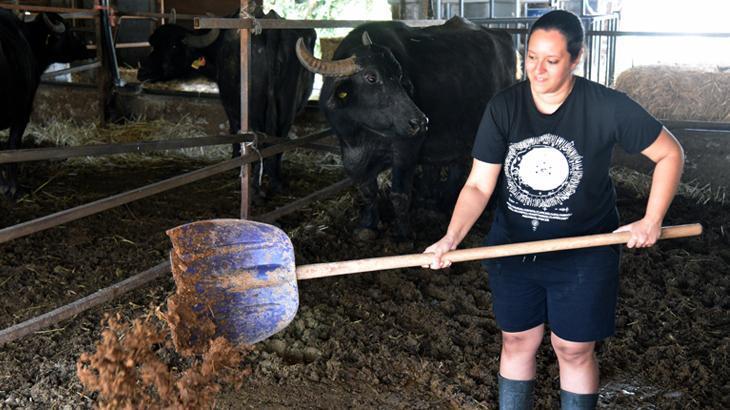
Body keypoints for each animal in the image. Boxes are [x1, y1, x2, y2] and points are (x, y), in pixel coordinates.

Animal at [138, 8, 314, 195]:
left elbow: (234, 129)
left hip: (255, 111)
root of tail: (273, 34)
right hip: (288, 110)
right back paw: (276, 182)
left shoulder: (229, 104)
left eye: (173, 45)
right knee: (279, 139)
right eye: (154, 45)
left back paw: (256, 187)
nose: (142, 71)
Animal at [292, 16, 516, 240]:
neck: (363, 134)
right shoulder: (351, 154)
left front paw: (403, 234)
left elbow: (399, 194)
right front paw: (368, 224)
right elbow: (367, 190)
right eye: (371, 77)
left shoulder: (406, 148)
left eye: (399, 75)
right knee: (457, 165)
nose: (420, 122)